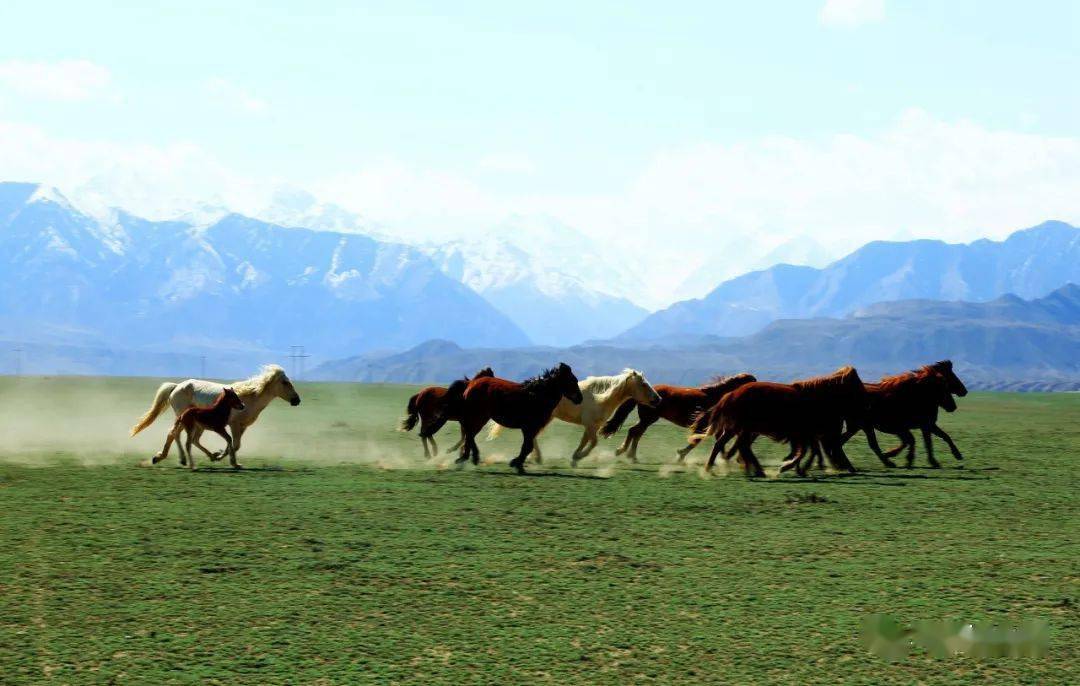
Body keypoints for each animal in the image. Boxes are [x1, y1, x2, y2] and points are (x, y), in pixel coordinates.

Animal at [130, 365, 302, 466]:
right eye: (285, 382)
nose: (297, 400)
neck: (250, 398)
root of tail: (176, 386)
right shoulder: (233, 425)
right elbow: (234, 443)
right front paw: (228, 460)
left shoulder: (242, 426)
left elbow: (235, 445)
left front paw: (221, 456)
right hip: (184, 418)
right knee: (174, 434)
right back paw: (168, 458)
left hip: (194, 424)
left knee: (189, 438)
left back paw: (189, 458)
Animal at [453, 365, 583, 477]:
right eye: (572, 381)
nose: (580, 398)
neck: (537, 396)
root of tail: (471, 383)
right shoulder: (529, 428)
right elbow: (527, 447)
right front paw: (516, 464)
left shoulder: (531, 429)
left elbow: (527, 447)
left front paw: (518, 465)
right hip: (479, 417)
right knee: (469, 435)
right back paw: (467, 458)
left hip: (480, 418)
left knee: (470, 435)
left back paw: (470, 458)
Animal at [488, 369, 656, 466]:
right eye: (644, 384)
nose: (658, 399)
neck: (602, 398)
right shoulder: (590, 425)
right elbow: (593, 442)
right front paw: (579, 457)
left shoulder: (591, 426)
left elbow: (584, 441)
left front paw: (575, 457)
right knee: (532, 436)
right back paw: (535, 458)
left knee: (533, 437)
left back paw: (536, 458)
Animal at [600, 373, 760, 464]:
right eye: (753, 382)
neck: (716, 396)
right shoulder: (703, 425)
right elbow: (697, 441)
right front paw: (681, 455)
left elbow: (716, 441)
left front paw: (722, 458)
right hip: (648, 419)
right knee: (634, 431)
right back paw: (625, 453)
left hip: (648, 420)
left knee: (636, 432)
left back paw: (631, 456)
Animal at [691, 369, 868, 477]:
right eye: (856, 387)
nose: (867, 407)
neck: (815, 398)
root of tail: (731, 394)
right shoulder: (803, 433)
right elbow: (806, 451)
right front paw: (788, 466)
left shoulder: (805, 434)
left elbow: (808, 451)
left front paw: (798, 468)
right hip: (743, 428)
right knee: (739, 446)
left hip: (738, 428)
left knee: (727, 444)